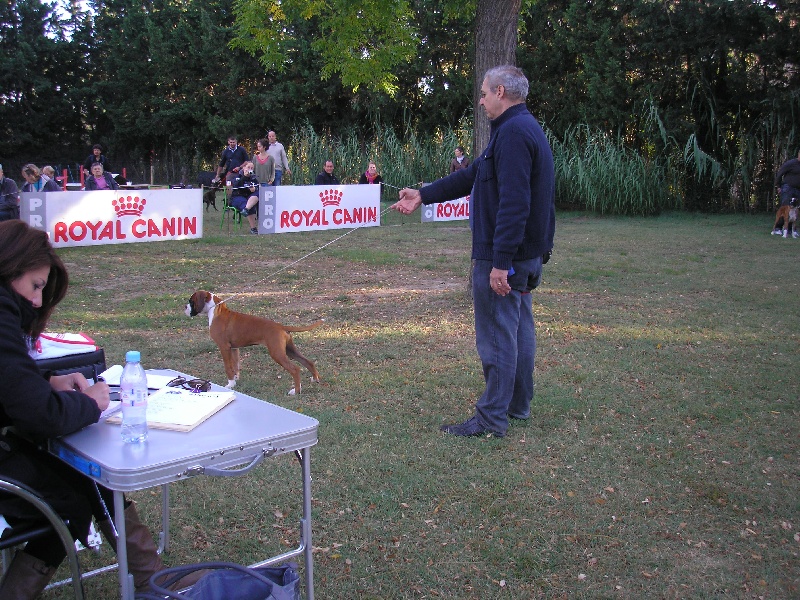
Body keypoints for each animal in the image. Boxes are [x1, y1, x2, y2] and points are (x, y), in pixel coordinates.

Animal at [185, 290, 323, 394]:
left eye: (191, 301)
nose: (185, 307)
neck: (216, 310)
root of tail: (281, 326)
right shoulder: (234, 348)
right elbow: (235, 366)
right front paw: (235, 381)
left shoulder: (224, 347)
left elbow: (228, 367)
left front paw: (230, 384)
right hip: (289, 350)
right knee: (308, 362)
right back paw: (315, 379)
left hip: (277, 353)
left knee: (295, 369)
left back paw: (296, 391)